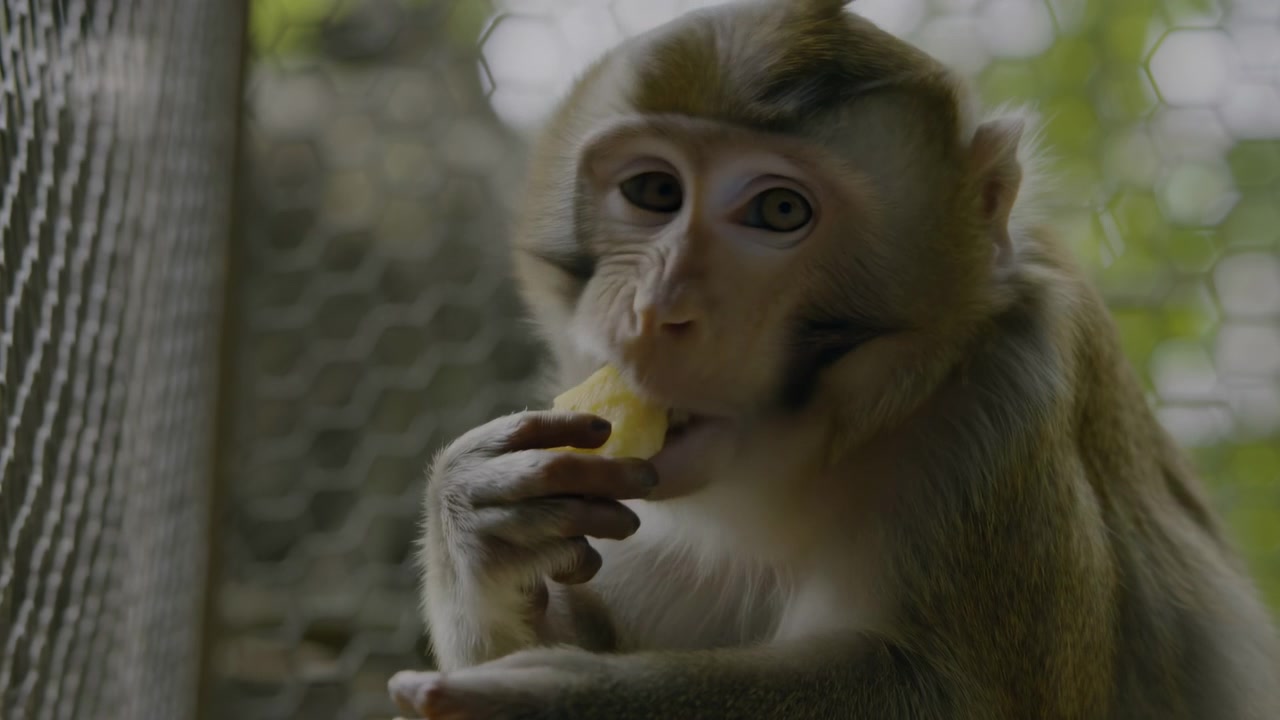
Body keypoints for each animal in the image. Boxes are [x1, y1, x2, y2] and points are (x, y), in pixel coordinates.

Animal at [388, 0, 1280, 717]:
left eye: (780, 210)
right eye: (654, 192)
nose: (655, 309)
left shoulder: (1003, 411)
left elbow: (968, 695)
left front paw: (569, 699)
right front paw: (475, 521)